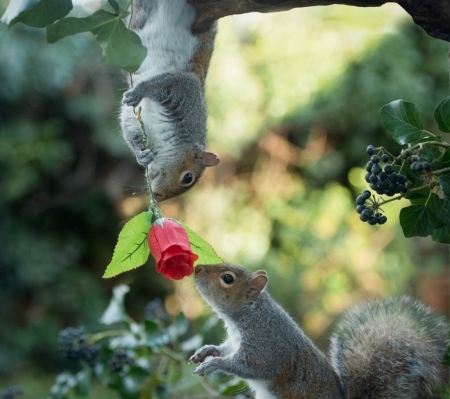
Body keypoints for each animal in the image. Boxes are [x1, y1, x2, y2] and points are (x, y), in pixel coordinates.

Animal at [119, 0, 220, 203]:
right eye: (188, 178)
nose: (158, 197)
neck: (163, 140)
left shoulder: (137, 116)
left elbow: (131, 128)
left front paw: (141, 156)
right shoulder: (186, 92)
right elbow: (163, 84)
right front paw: (140, 91)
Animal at [191, 264, 450, 398]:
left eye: (227, 279)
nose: (197, 268)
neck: (245, 316)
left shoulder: (268, 343)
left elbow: (252, 366)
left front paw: (213, 364)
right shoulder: (235, 341)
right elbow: (224, 348)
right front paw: (206, 351)